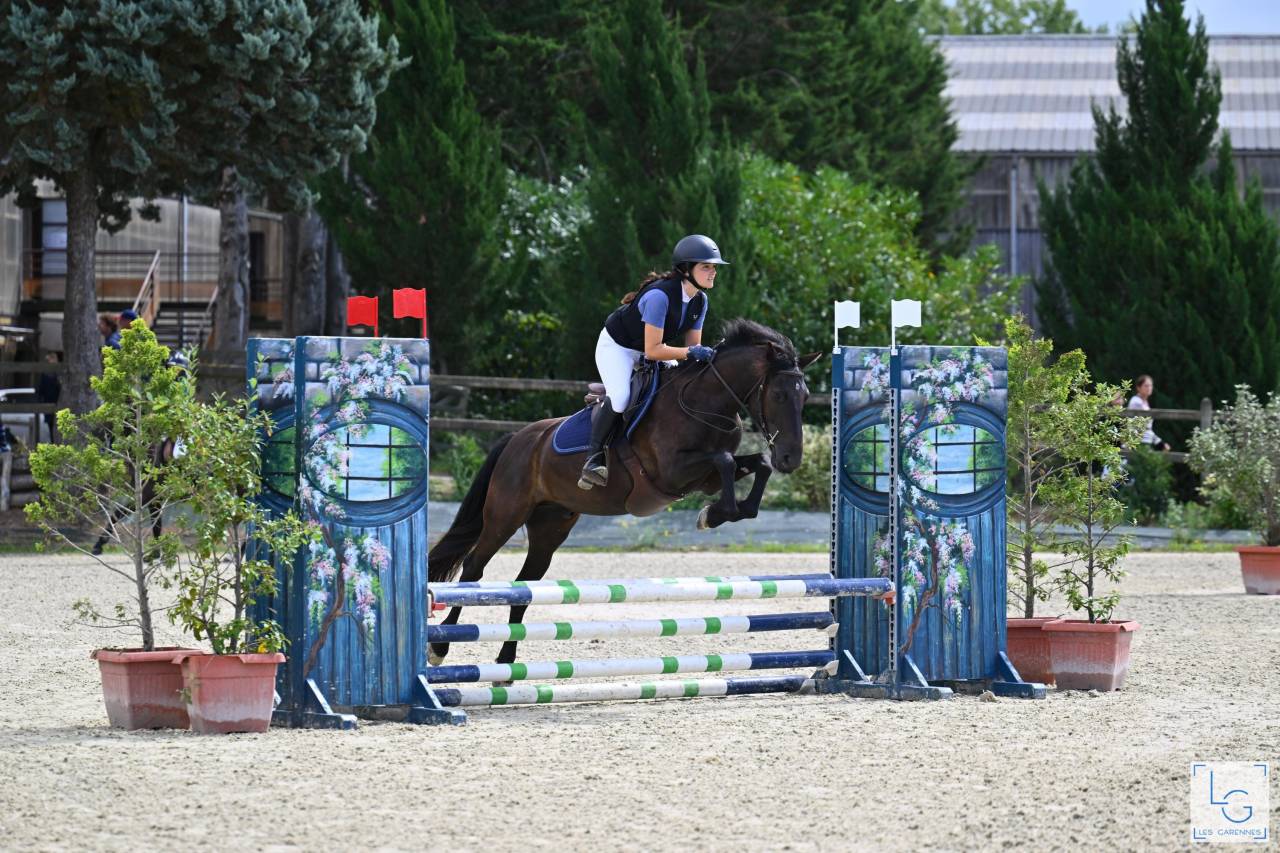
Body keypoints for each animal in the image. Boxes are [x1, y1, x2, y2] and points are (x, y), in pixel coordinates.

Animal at [427, 319, 822, 668]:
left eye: (804, 397)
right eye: (778, 394)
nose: (792, 458)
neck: (704, 402)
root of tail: (517, 439)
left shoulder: (704, 479)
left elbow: (757, 465)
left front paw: (723, 513)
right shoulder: (672, 473)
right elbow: (725, 461)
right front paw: (715, 514)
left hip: (550, 525)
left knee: (526, 585)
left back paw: (507, 660)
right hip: (505, 515)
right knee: (474, 569)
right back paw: (440, 649)